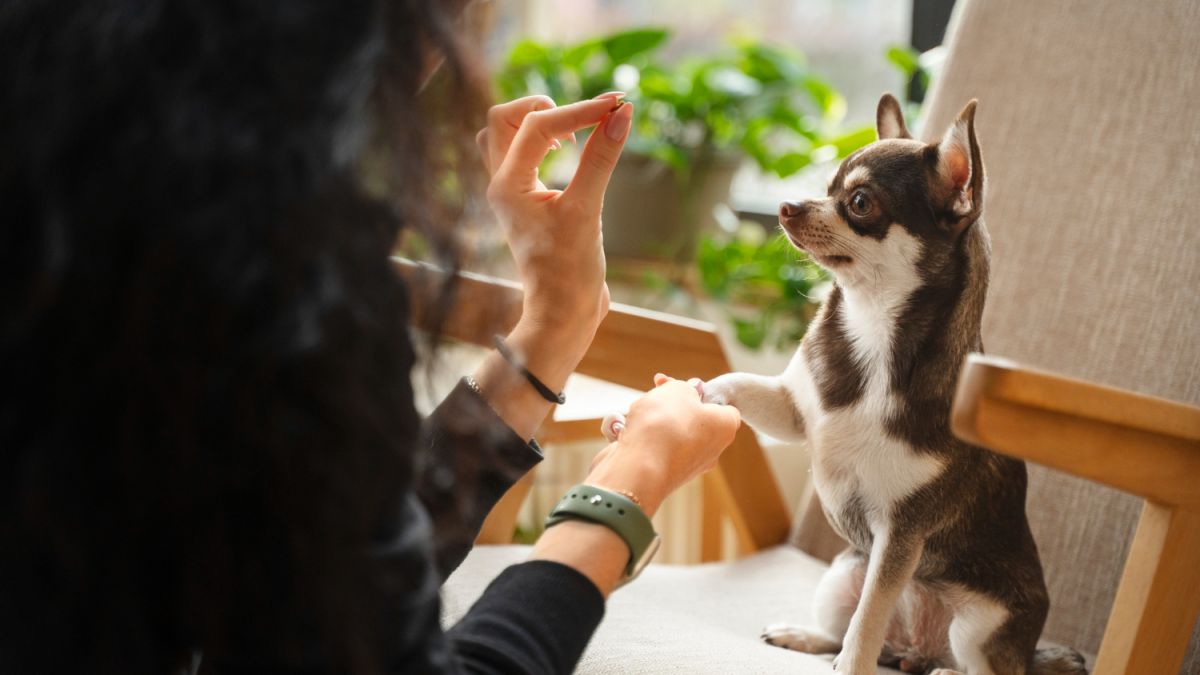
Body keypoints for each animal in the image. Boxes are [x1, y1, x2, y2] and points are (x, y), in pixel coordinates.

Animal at [700, 94, 1089, 672]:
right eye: (826, 187)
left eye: (860, 203)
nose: (787, 206)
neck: (873, 328)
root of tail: (917, 649)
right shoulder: (793, 410)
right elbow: (744, 384)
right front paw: (703, 393)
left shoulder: (901, 535)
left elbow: (870, 616)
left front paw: (850, 669)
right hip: (842, 574)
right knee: (851, 630)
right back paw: (807, 636)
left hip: (981, 625)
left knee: (973, 663)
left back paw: (938, 669)